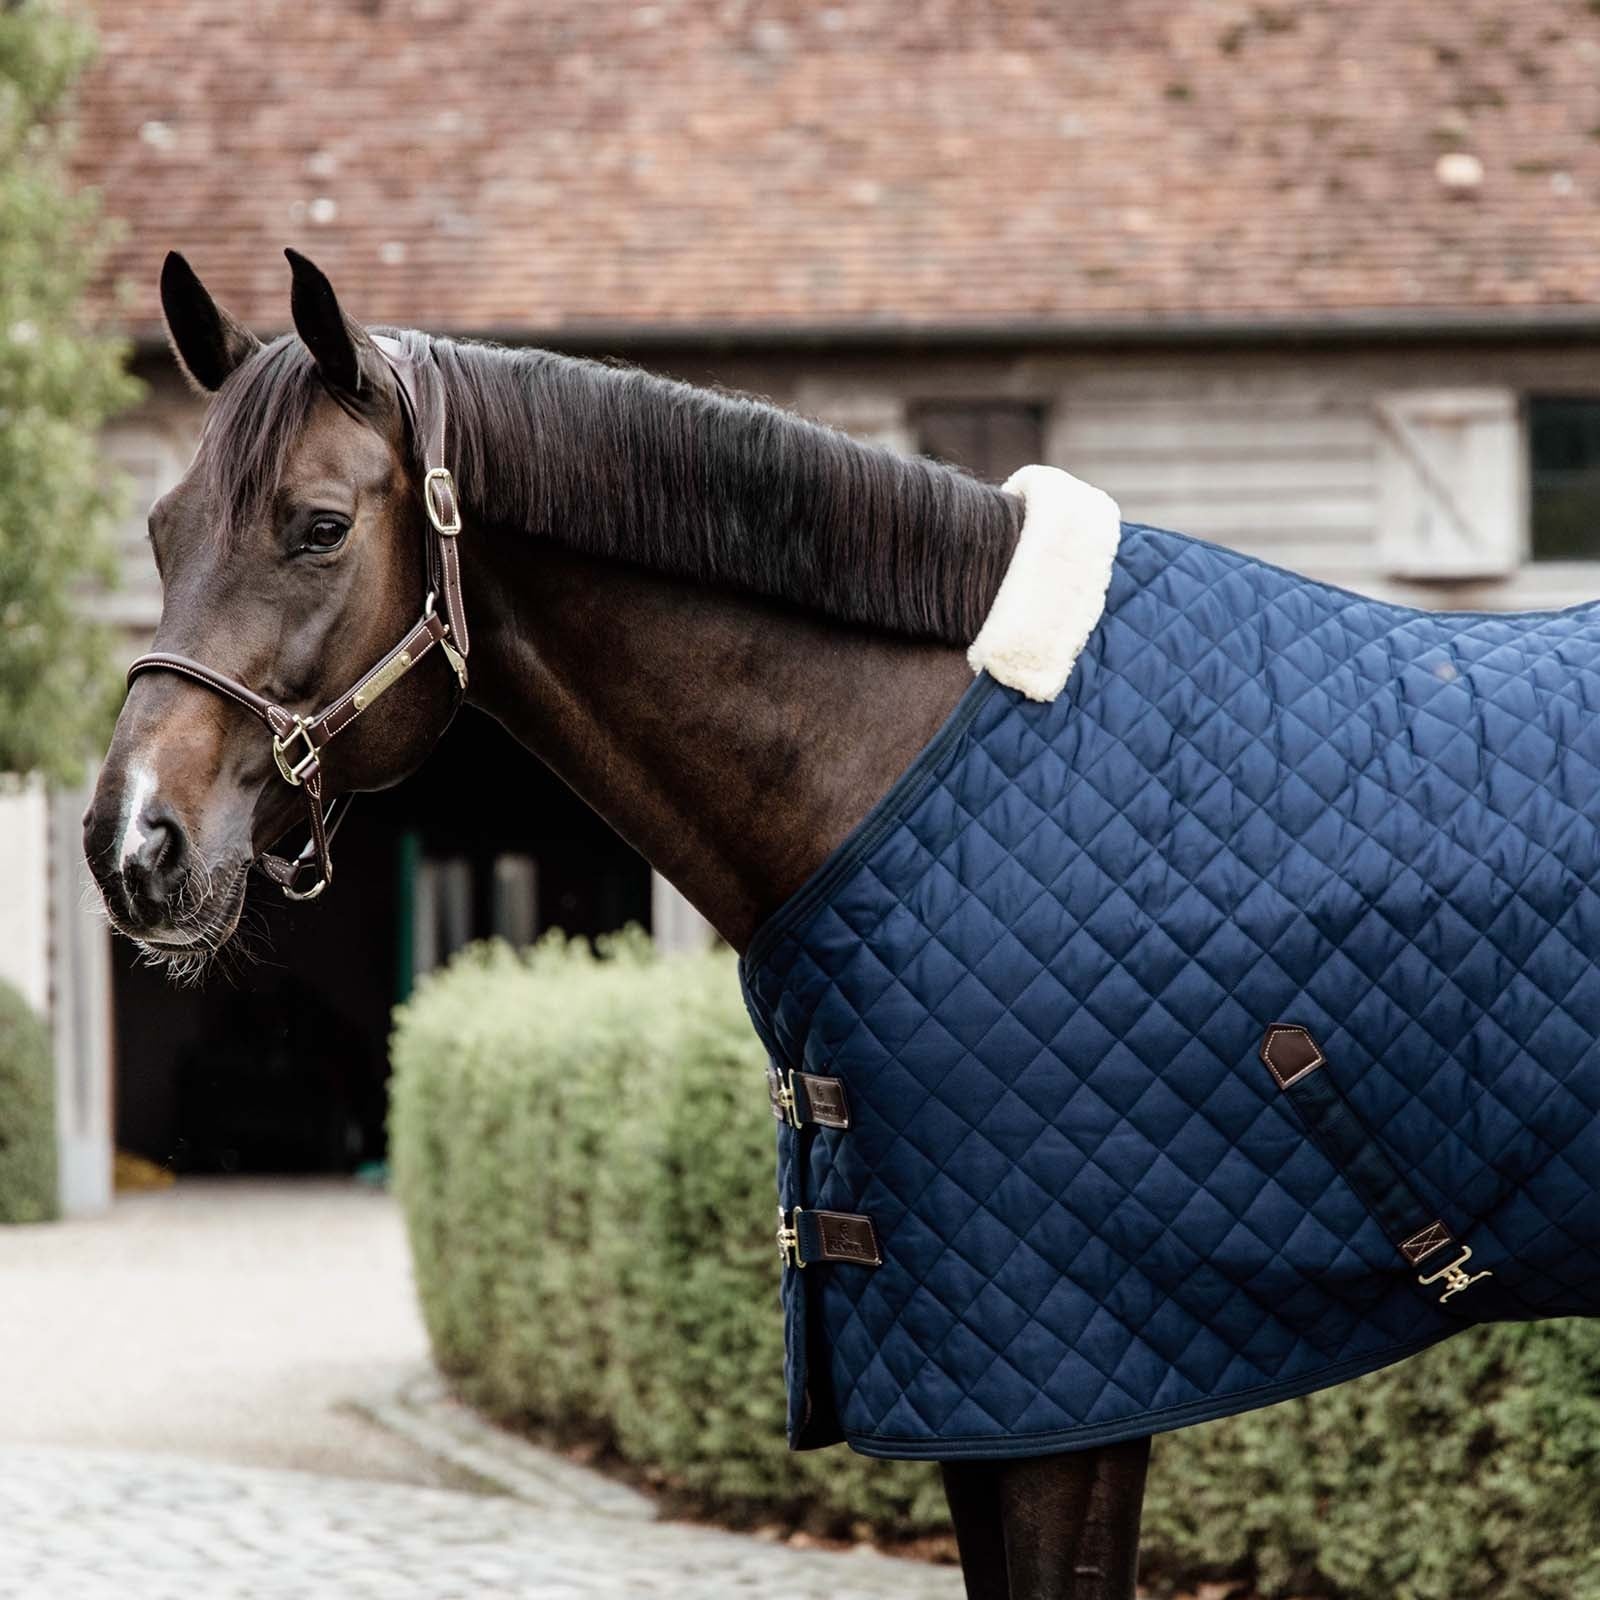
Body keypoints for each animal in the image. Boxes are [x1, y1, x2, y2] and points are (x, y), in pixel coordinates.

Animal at [84, 251, 1600, 1599]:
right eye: (160, 530)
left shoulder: (1060, 1373)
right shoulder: (996, 1382)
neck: (903, 760)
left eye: (319, 527)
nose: (134, 843)